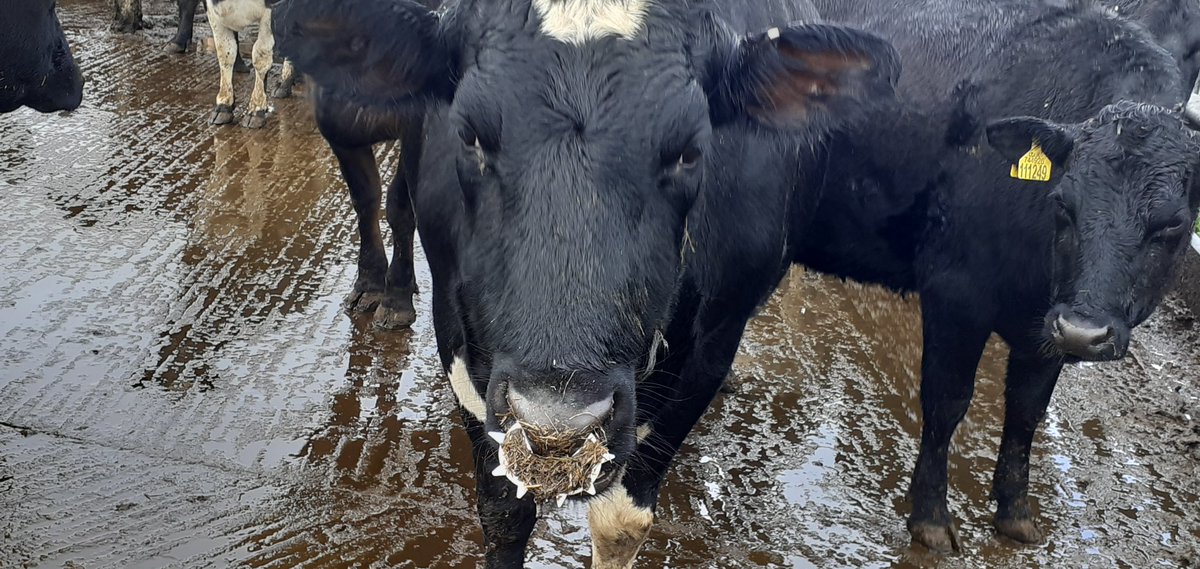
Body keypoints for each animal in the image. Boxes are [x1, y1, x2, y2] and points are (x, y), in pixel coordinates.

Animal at [272, 0, 900, 566]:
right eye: (469, 135)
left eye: (690, 150)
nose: (558, 428)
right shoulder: (459, 336)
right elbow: (504, 510)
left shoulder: (711, 347)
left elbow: (620, 521)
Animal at [810, 0, 1200, 553]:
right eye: (1062, 203)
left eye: (1172, 225)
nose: (1085, 330)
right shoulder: (955, 292)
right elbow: (947, 400)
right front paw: (930, 516)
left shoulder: (1046, 323)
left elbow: (1026, 411)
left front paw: (1015, 511)